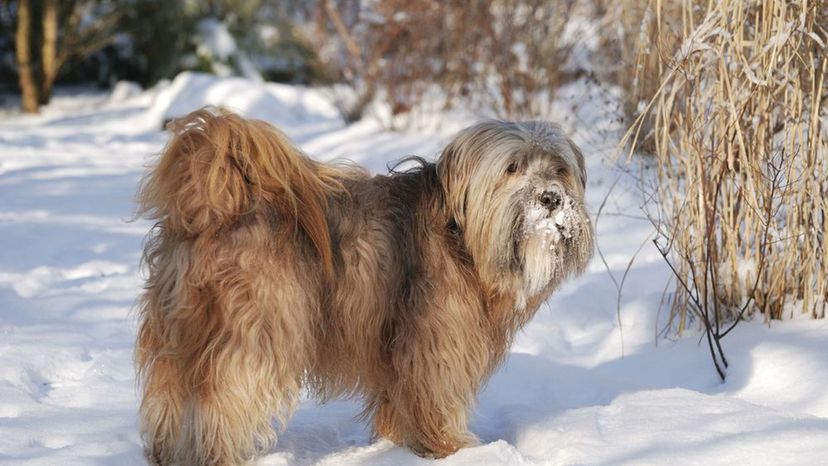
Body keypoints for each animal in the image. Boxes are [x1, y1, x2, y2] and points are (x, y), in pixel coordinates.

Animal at [136, 107, 592, 464]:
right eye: (513, 167)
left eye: (559, 169)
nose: (551, 198)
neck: (462, 235)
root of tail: (211, 208)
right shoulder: (437, 344)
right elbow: (436, 400)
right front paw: (454, 450)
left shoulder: (396, 347)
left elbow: (397, 403)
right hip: (260, 331)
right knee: (225, 398)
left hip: (179, 332)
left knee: (170, 398)